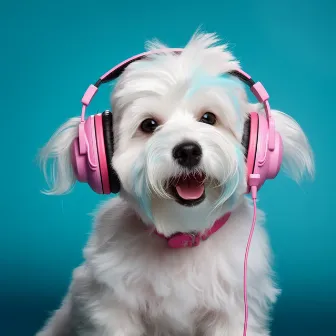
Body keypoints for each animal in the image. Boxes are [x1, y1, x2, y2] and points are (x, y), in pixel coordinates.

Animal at [36, 31, 316, 336]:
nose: (188, 150)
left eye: (208, 118)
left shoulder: (234, 310)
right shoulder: (112, 307)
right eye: (149, 125)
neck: (183, 235)